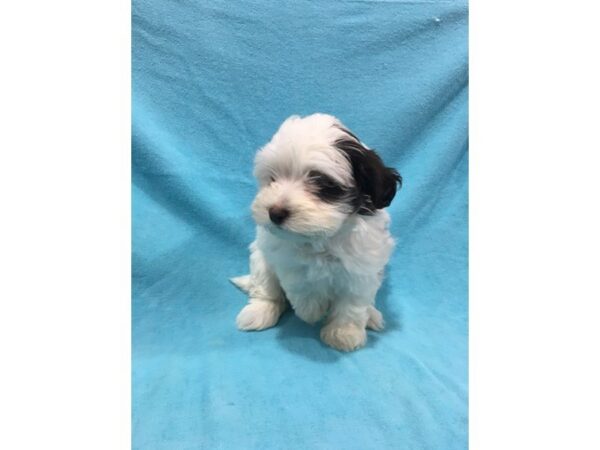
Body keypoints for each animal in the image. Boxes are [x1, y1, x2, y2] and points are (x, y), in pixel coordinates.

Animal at [232, 112, 400, 352]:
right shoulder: (286, 259)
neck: (321, 238)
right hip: (260, 259)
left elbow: (352, 303)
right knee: (266, 289)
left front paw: (343, 333)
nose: (275, 212)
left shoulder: (362, 267)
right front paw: (311, 310)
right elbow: (302, 284)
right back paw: (260, 311)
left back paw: (371, 316)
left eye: (321, 183)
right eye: (273, 179)